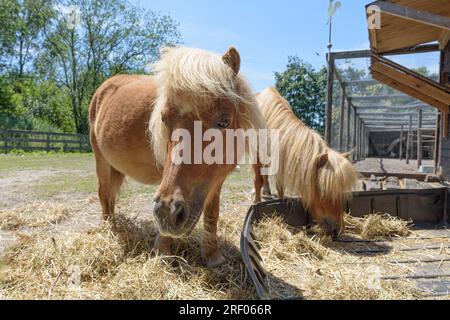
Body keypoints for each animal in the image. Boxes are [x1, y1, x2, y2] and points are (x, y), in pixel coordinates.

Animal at [89, 45, 264, 264]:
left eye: (223, 121)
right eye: (164, 119)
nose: (167, 212)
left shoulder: (216, 179)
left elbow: (212, 214)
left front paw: (213, 255)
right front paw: (163, 251)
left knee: (110, 197)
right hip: (102, 162)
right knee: (104, 194)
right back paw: (109, 230)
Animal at [255, 87, 360, 238]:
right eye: (323, 191)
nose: (338, 231)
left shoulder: (281, 159)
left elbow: (280, 187)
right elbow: (257, 181)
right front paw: (256, 203)